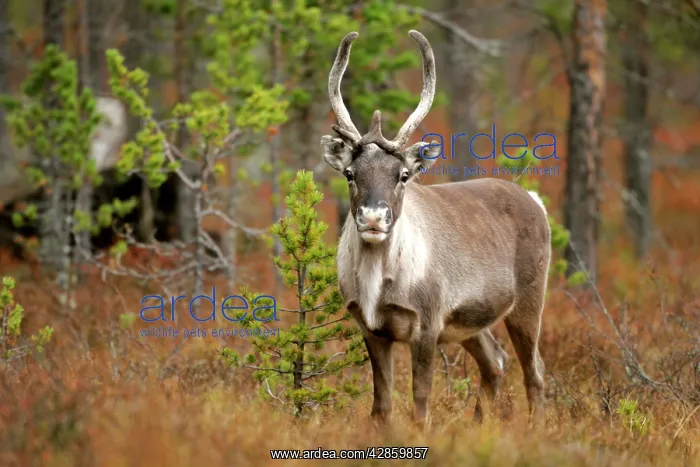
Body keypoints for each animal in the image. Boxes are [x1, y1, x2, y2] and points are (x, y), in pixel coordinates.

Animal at [320, 30, 551, 428]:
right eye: (350, 173)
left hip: (529, 300)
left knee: (534, 371)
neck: (377, 284)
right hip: (470, 321)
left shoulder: (426, 324)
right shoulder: (371, 328)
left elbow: (420, 405)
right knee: (496, 361)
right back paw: (477, 426)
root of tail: (536, 200)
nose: (372, 217)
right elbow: (381, 407)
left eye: (403, 175)